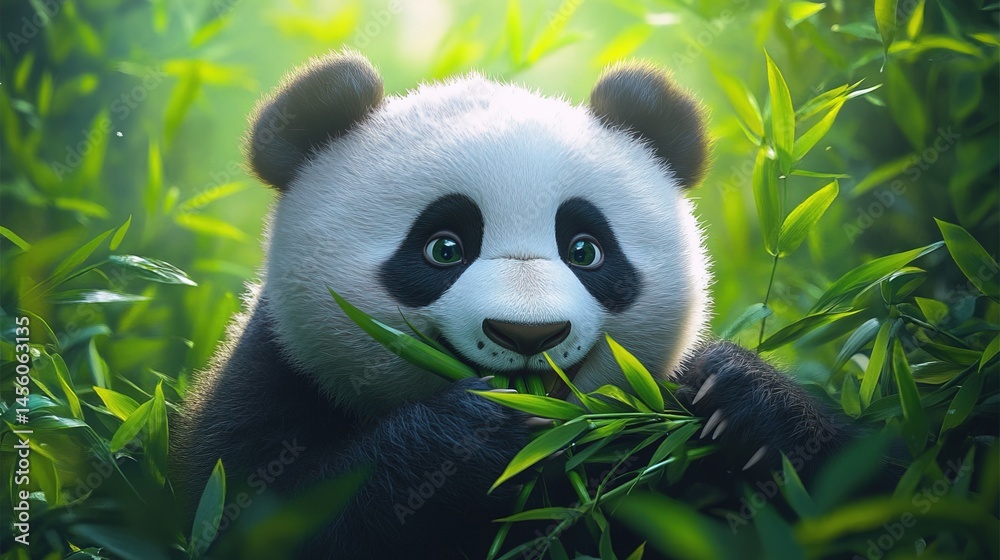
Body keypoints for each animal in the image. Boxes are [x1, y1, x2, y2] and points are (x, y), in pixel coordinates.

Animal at [173, 50, 850, 559]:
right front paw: (474, 432)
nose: (529, 335)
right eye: (444, 248)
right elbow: (260, 510)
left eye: (585, 250)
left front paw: (744, 405)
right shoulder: (277, 374)